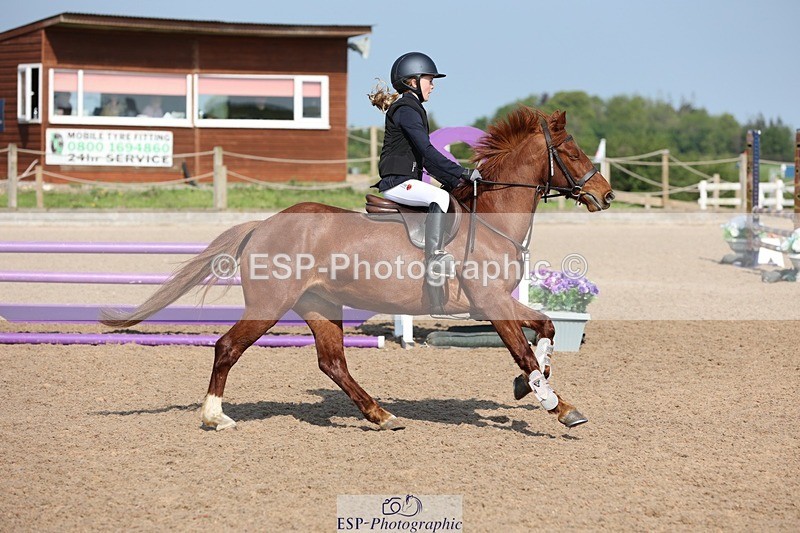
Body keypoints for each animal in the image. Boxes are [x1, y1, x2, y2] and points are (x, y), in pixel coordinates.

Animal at [101, 107, 614, 432]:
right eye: (572, 152)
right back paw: (214, 416)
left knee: (333, 363)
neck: (490, 219)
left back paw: (381, 415)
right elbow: (524, 350)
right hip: (271, 304)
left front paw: (528, 386)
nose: (605, 195)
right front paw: (556, 403)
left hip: (319, 305)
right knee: (228, 347)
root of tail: (263, 224)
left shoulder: (495, 304)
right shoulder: (489, 302)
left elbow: (545, 330)